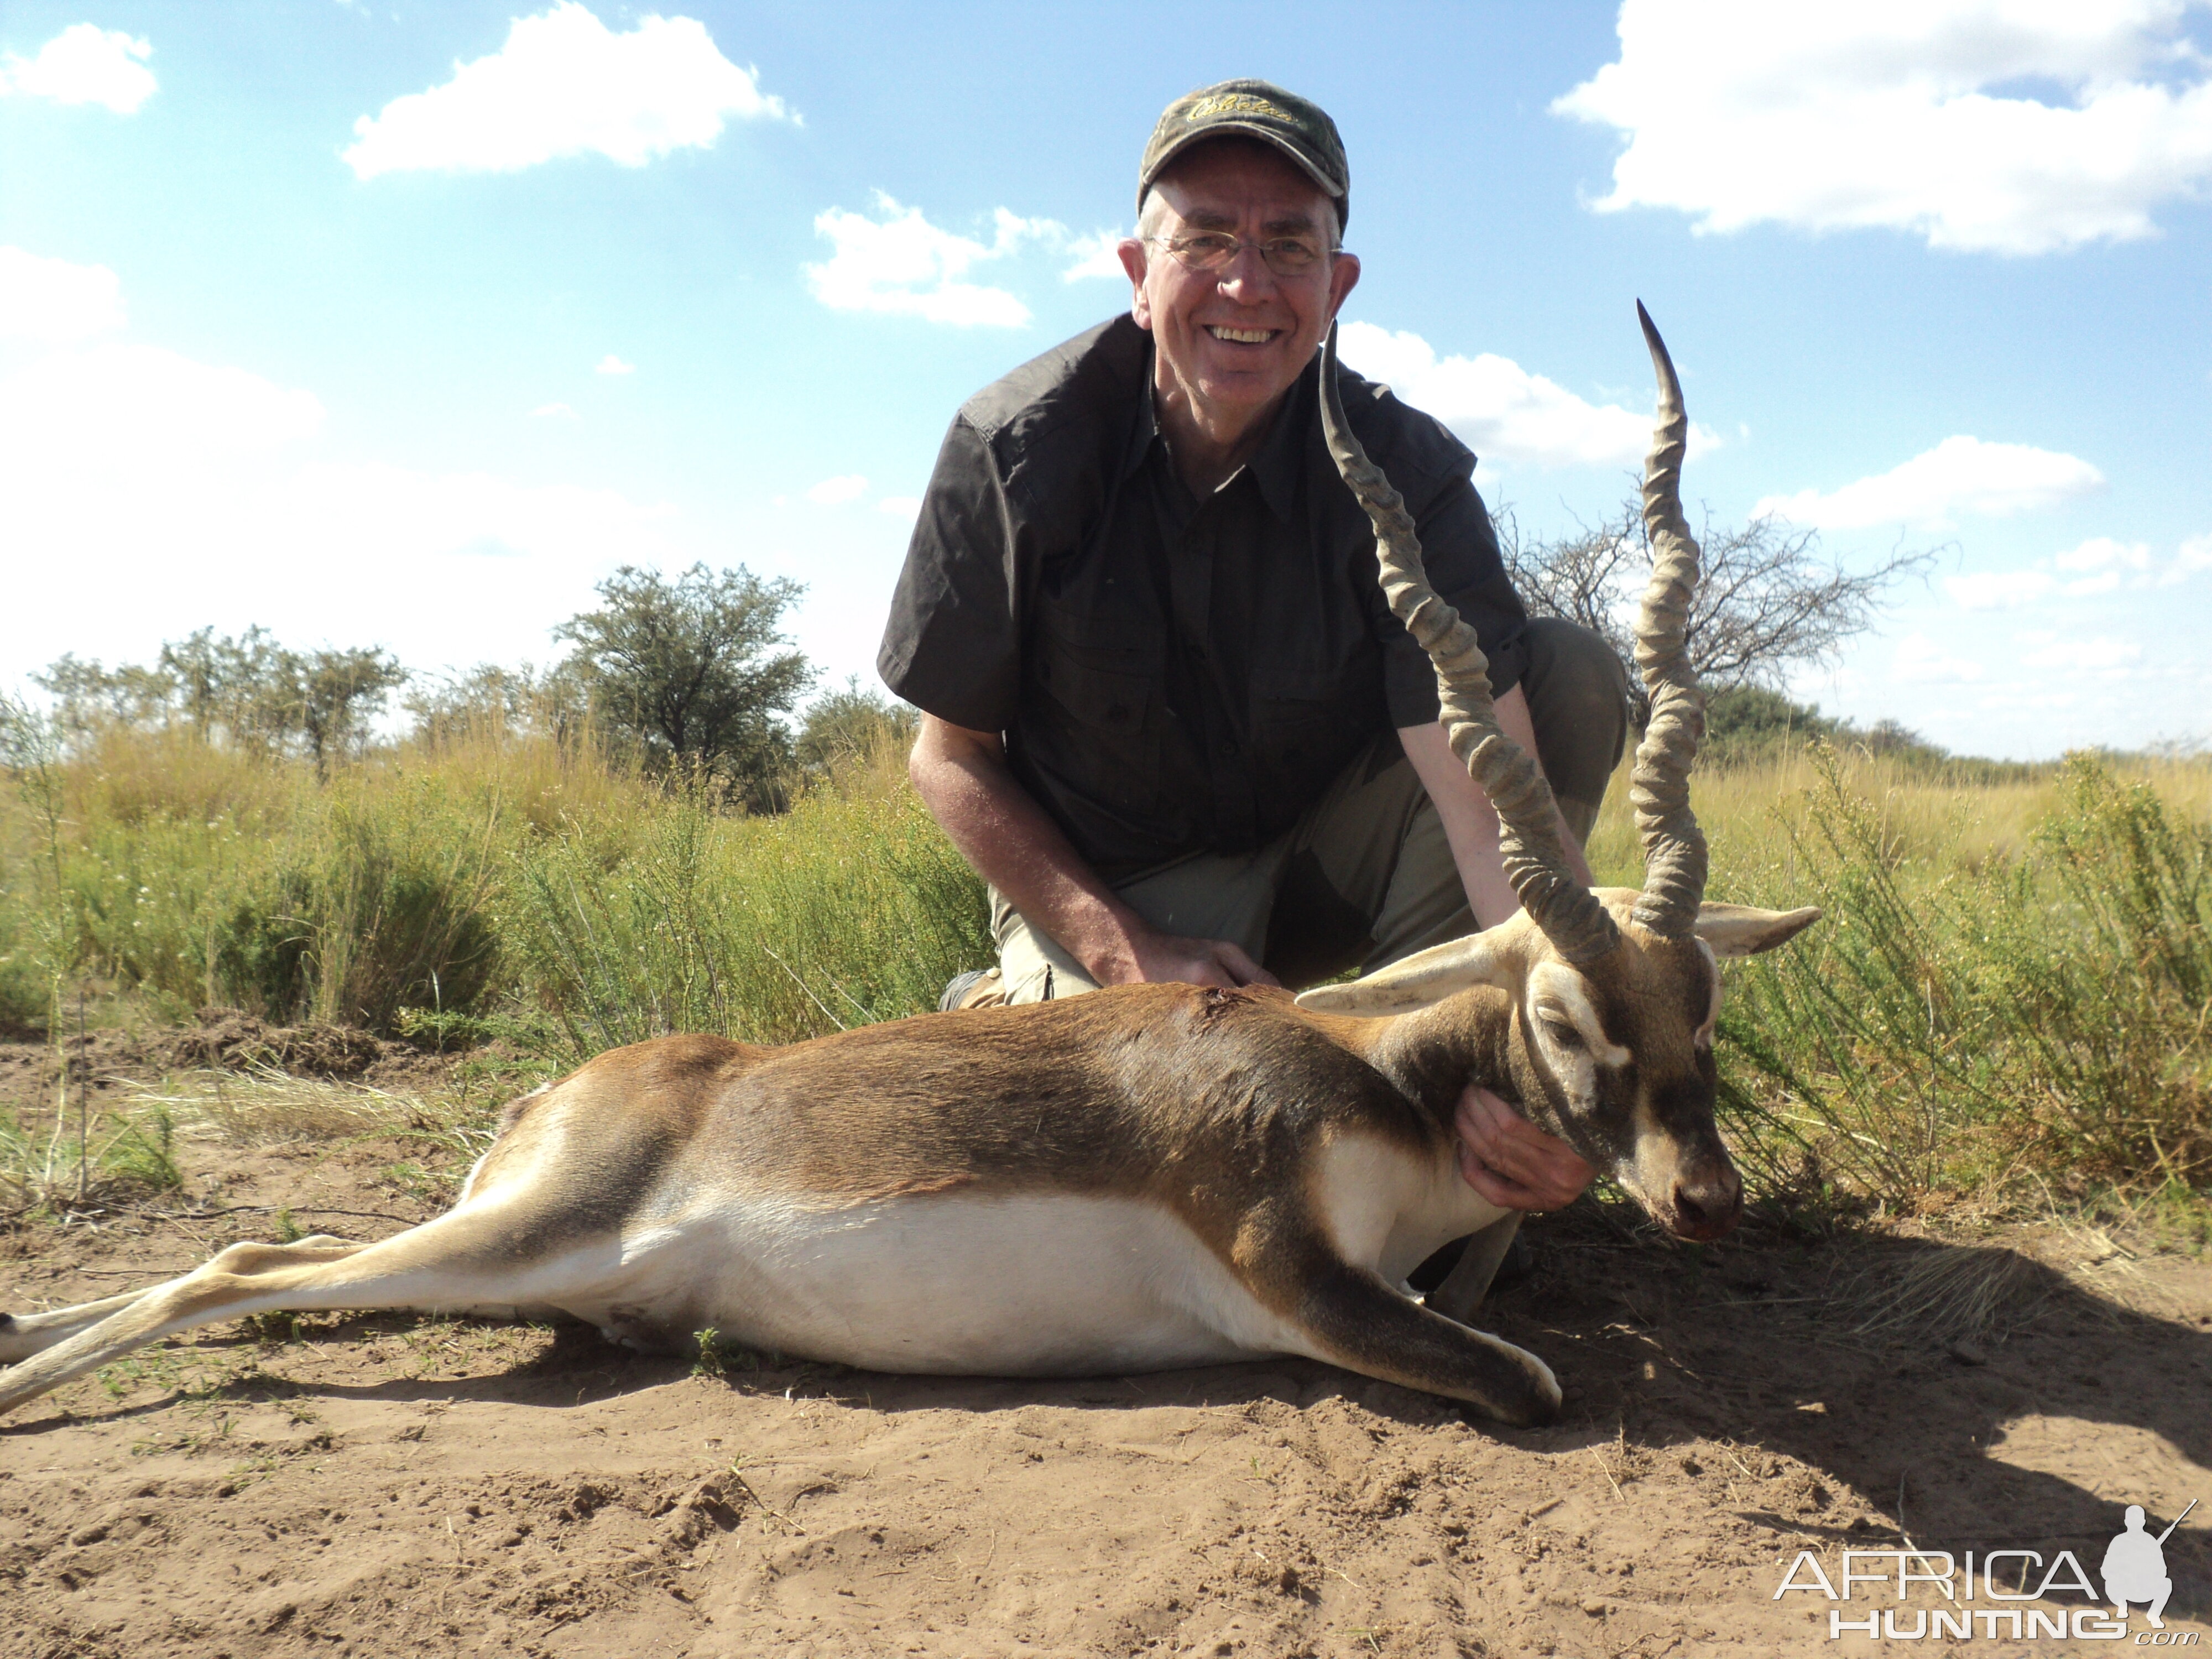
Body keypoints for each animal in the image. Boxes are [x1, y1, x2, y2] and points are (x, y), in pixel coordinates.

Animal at [4, 310, 1814, 1433]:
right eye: (1567, 1017)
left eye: (1706, 1006)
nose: (1706, 1200)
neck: (1387, 1082)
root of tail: (565, 1090)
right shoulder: (1286, 1270)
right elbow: (1534, 1381)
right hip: (530, 1233)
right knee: (239, 1265)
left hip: (531, 1266)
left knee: (285, 1278)